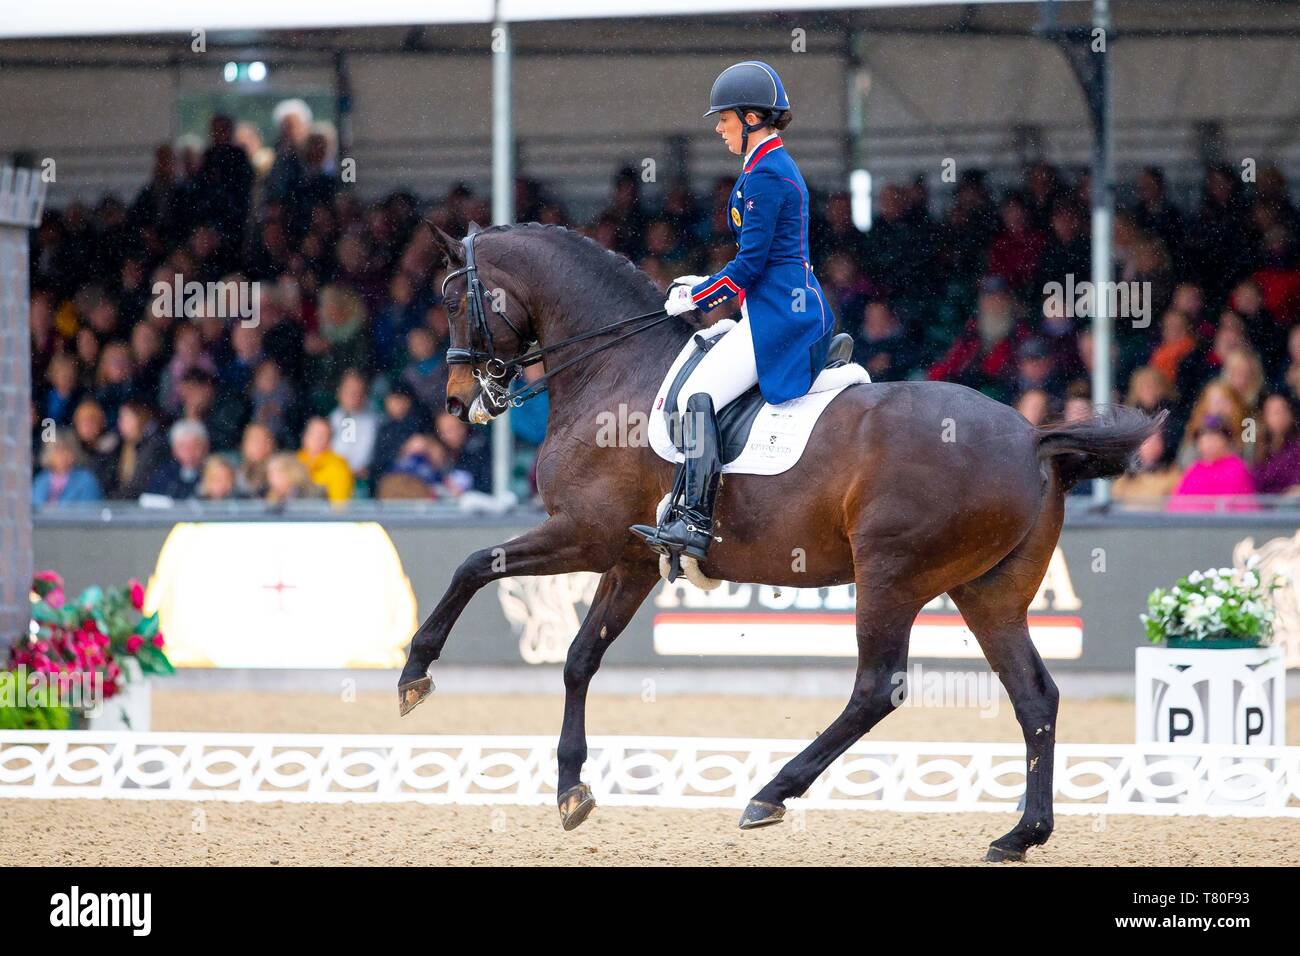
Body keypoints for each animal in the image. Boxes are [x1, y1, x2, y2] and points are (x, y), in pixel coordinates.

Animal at [398, 221, 1160, 862]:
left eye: (453, 300)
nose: (457, 399)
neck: (613, 369)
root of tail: (1032, 438)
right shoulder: (633, 558)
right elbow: (580, 658)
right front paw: (570, 790)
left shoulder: (586, 535)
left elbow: (474, 564)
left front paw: (415, 674)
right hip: (988, 592)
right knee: (1034, 695)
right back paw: (1021, 834)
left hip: (890, 576)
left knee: (876, 690)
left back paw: (771, 794)